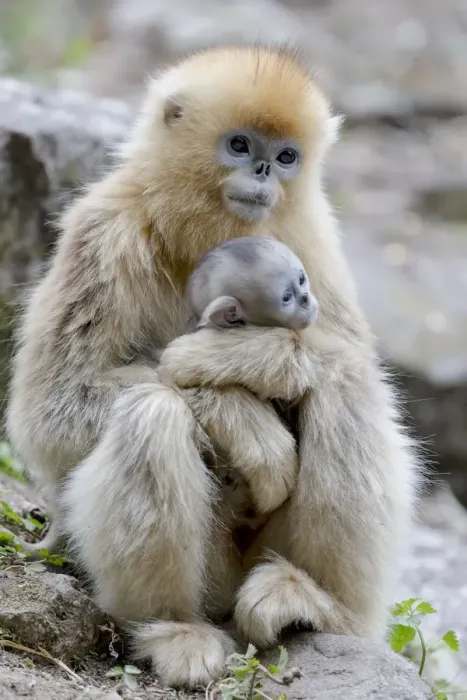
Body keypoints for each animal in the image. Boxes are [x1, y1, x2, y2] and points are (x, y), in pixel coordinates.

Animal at [6, 45, 420, 689]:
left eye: (286, 156)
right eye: (240, 146)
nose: (265, 172)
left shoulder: (313, 238)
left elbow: (351, 354)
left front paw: (233, 358)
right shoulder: (103, 232)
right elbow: (52, 412)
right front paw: (244, 422)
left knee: (344, 382)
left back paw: (318, 603)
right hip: (210, 578)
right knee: (152, 411)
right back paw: (174, 630)